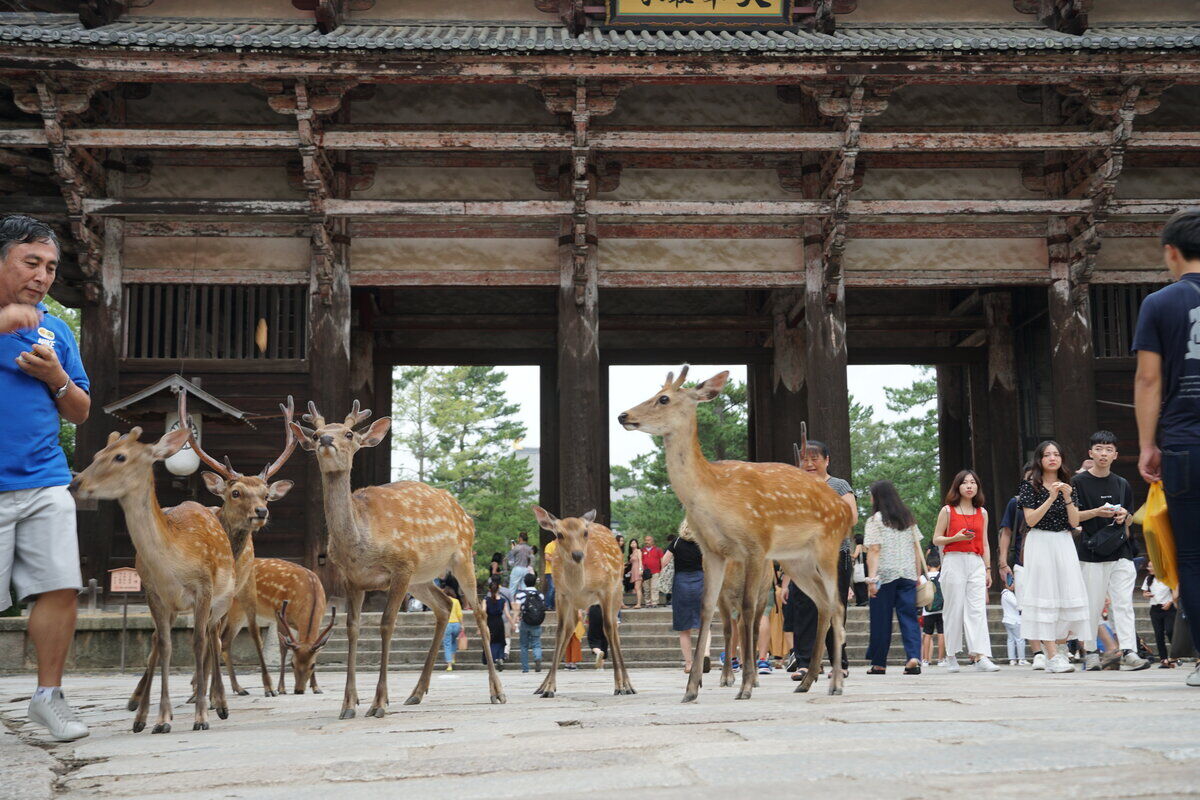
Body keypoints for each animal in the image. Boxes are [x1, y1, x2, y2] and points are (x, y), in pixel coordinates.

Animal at [68, 423, 236, 733]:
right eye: (97, 454)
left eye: (120, 456)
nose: (76, 484)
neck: (171, 563)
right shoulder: (153, 594)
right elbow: (165, 645)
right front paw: (160, 719)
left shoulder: (203, 589)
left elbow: (197, 643)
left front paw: (201, 717)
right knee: (163, 640)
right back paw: (142, 715)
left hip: (223, 601)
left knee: (213, 637)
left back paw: (220, 705)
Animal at [183, 392, 297, 697]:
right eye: (235, 492)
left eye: (266, 494)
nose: (261, 511)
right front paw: (206, 692)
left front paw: (213, 694)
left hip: (244, 589)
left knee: (238, 634)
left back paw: (247, 686)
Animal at [290, 400, 506, 719]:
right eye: (316, 434)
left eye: (349, 434)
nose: (326, 440)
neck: (360, 543)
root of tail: (464, 513)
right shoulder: (352, 578)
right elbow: (352, 628)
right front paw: (348, 705)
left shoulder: (402, 565)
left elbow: (386, 623)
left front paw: (378, 703)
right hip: (421, 578)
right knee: (445, 605)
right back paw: (416, 693)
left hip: (461, 556)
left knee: (479, 613)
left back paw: (497, 691)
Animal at [530, 507, 635, 698]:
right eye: (559, 534)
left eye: (585, 533)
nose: (578, 554)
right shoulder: (561, 594)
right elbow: (559, 632)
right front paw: (548, 689)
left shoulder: (606, 589)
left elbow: (608, 628)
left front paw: (619, 686)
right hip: (574, 604)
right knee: (570, 628)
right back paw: (542, 686)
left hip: (617, 592)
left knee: (614, 630)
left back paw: (628, 685)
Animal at [618, 366, 853, 701]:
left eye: (664, 398)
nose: (623, 415)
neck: (714, 494)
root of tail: (845, 510)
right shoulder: (713, 551)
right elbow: (706, 610)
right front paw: (691, 690)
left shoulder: (755, 543)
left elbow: (747, 611)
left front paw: (745, 686)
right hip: (796, 560)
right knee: (822, 603)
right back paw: (807, 681)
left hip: (828, 547)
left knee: (836, 604)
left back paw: (835, 684)